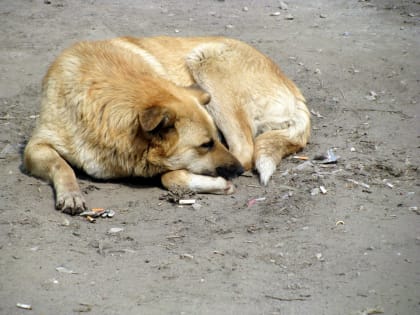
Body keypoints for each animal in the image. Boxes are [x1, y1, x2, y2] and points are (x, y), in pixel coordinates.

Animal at [24, 36, 310, 215]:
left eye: (214, 141)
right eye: (206, 144)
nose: (238, 172)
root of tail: (294, 90)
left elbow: (169, 175)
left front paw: (216, 183)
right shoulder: (35, 147)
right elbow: (61, 166)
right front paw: (71, 194)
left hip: (206, 61)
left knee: (245, 151)